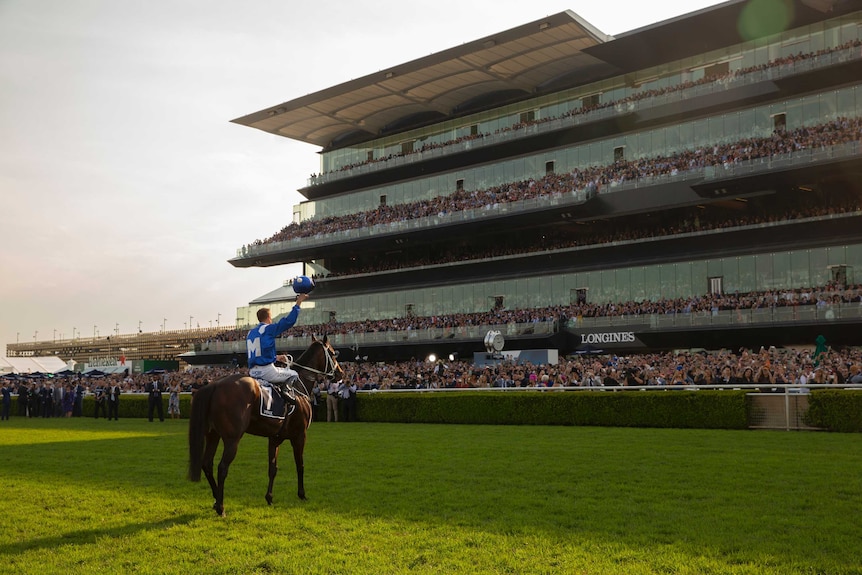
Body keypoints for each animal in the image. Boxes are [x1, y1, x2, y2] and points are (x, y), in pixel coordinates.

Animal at [187, 336, 342, 516]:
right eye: (333, 353)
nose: (341, 373)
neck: (299, 387)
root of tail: (214, 385)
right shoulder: (300, 435)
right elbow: (300, 465)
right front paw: (302, 494)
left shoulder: (274, 438)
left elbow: (272, 468)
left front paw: (269, 497)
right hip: (232, 439)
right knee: (222, 468)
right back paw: (221, 507)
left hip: (213, 435)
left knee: (207, 464)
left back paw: (215, 498)